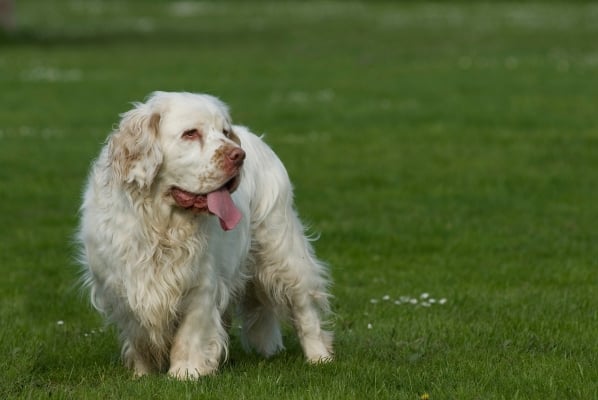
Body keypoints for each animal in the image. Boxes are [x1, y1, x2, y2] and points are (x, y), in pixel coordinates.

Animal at [77, 90, 336, 378]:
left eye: (225, 132)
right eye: (190, 133)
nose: (238, 155)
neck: (161, 224)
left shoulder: (201, 282)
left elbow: (191, 332)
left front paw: (185, 372)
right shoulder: (121, 284)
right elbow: (139, 333)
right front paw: (143, 373)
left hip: (282, 249)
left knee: (305, 306)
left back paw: (319, 356)